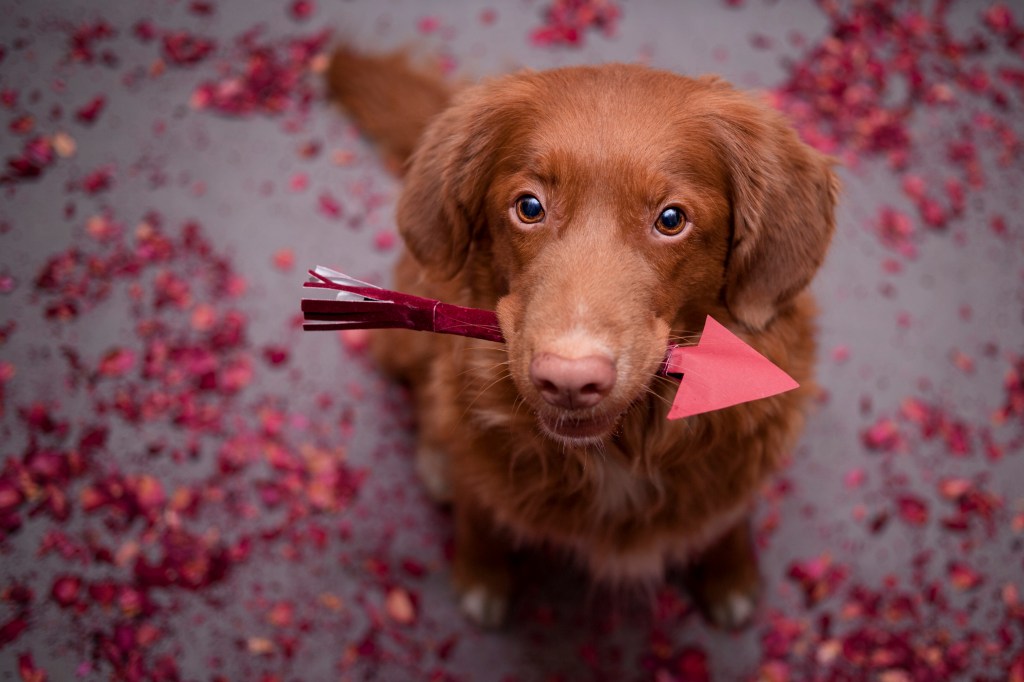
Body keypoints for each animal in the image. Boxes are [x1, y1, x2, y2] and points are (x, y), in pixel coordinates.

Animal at [329, 47, 839, 626]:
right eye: (529, 207)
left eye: (671, 219)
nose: (569, 380)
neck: (626, 445)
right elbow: (477, 509)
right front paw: (481, 572)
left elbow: (727, 517)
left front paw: (730, 573)